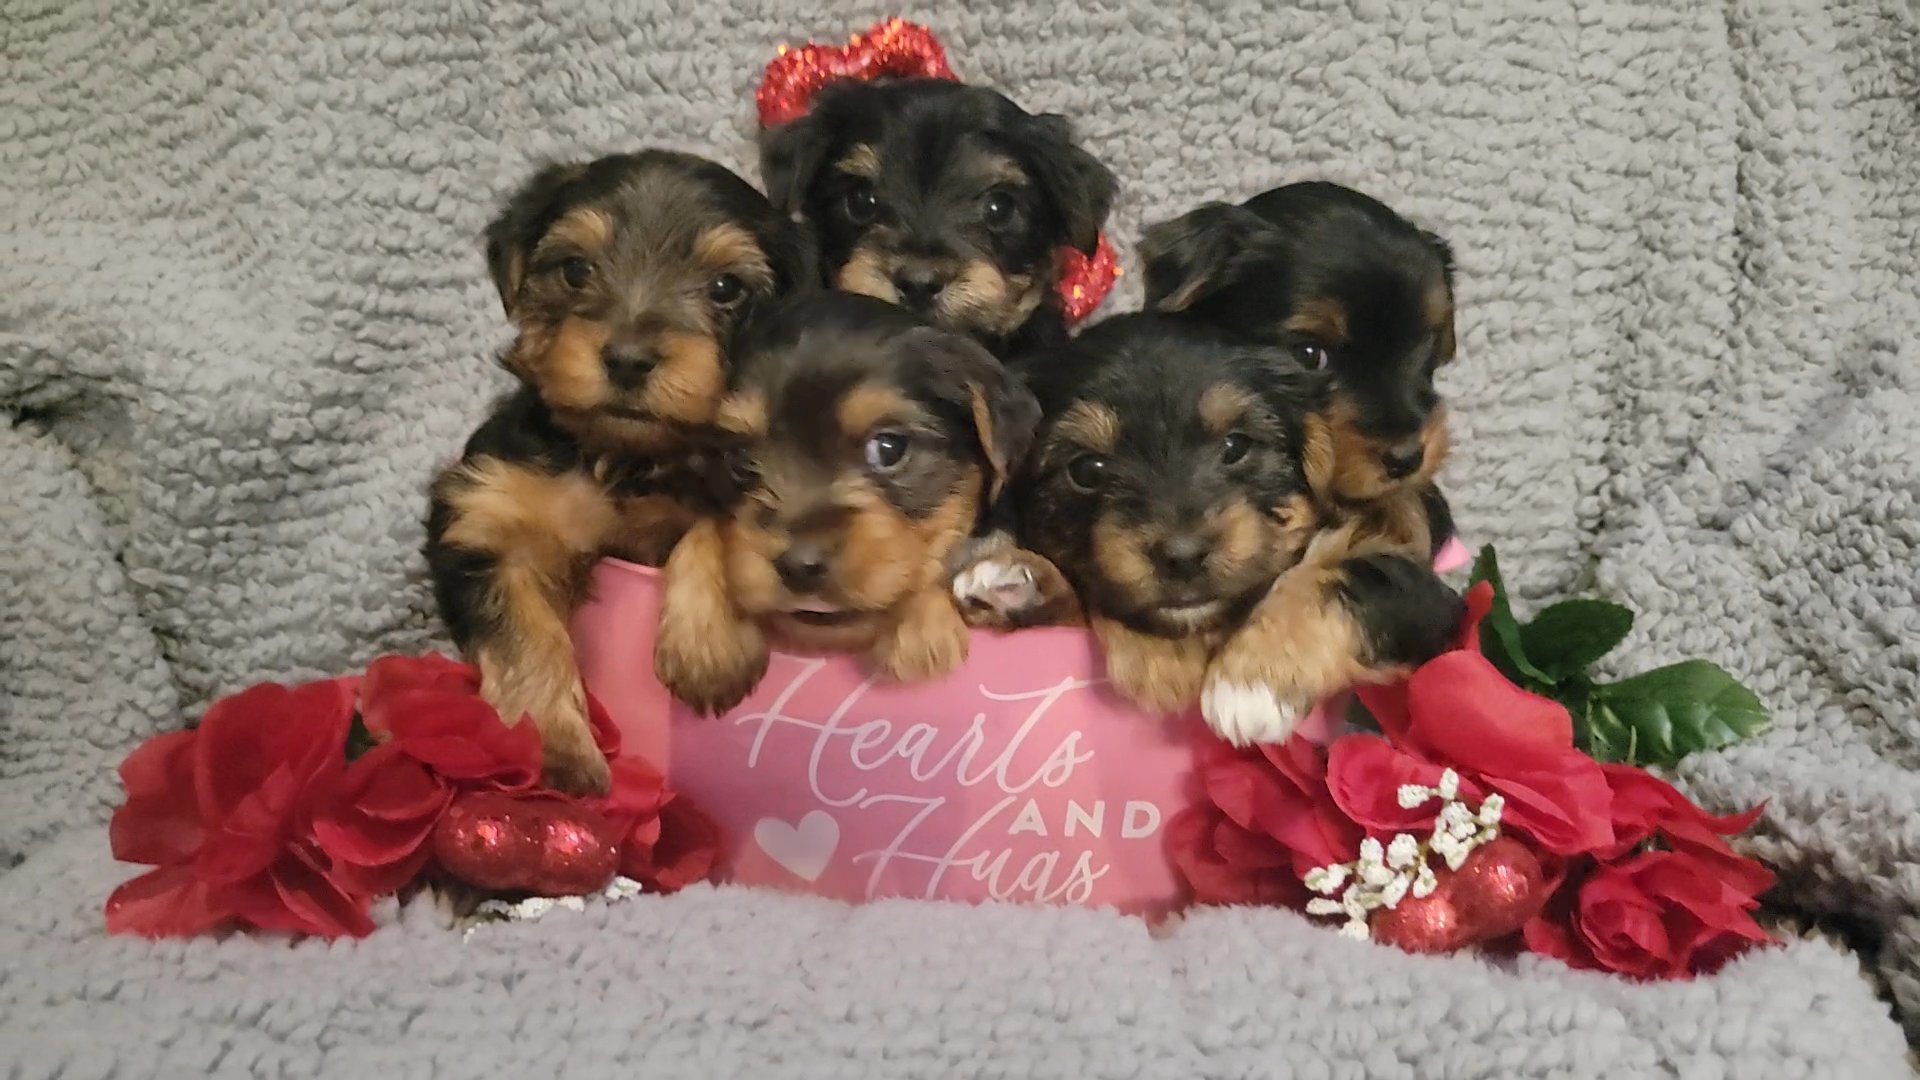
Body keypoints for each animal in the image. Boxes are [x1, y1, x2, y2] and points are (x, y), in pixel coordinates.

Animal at [424, 148, 814, 791]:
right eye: (575, 269)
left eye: (726, 288)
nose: (628, 359)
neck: (625, 454)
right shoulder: (489, 513)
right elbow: (522, 631)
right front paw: (553, 752)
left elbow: (718, 517)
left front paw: (708, 646)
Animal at [652, 290, 1044, 711]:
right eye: (739, 459)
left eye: (889, 448)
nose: (800, 565)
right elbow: (702, 529)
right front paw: (704, 637)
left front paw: (920, 625)